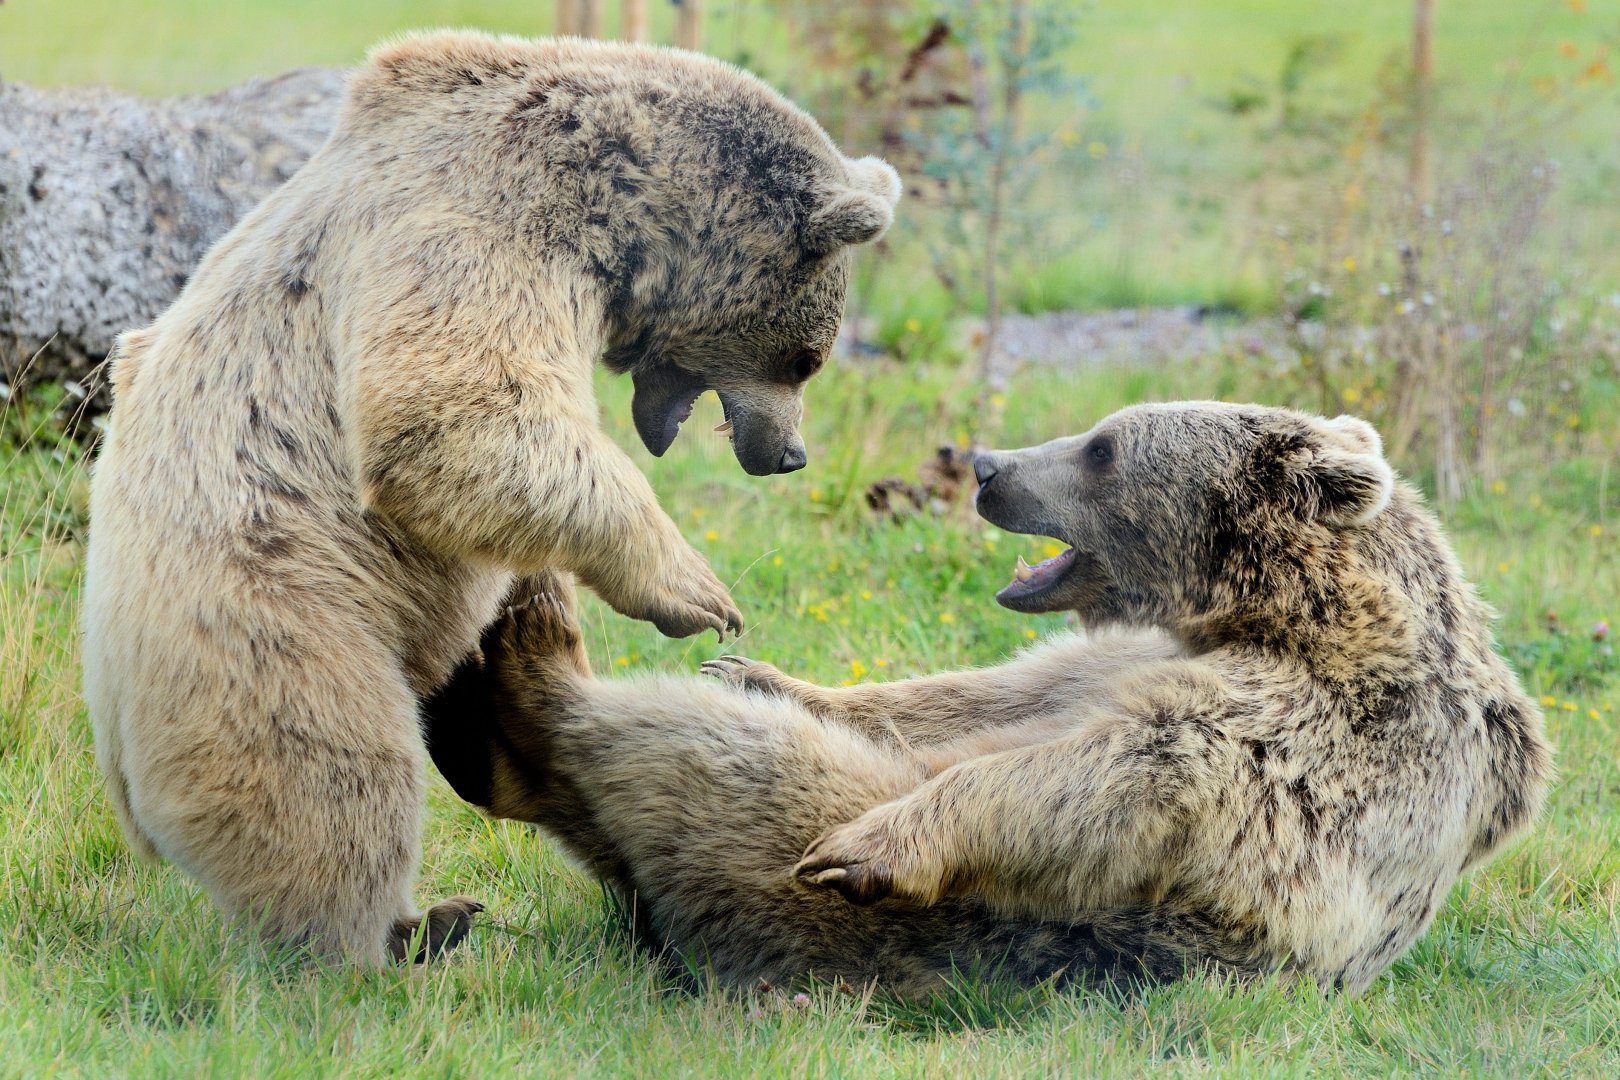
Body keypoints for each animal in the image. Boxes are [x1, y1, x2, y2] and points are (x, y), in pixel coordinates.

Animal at [81, 29, 901, 965]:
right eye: (808, 356)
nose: (789, 453)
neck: (615, 211)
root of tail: (114, 748)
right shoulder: (487, 226)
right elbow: (454, 408)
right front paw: (694, 591)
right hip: (274, 611)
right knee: (332, 782)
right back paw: (387, 938)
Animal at [423, 402, 1551, 996]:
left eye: (1102, 447)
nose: (990, 464)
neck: (1286, 618)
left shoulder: (1327, 747)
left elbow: (1125, 769)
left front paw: (874, 844)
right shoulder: (1108, 656)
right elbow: (975, 698)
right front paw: (756, 669)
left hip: (888, 899)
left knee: (685, 758)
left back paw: (528, 653)